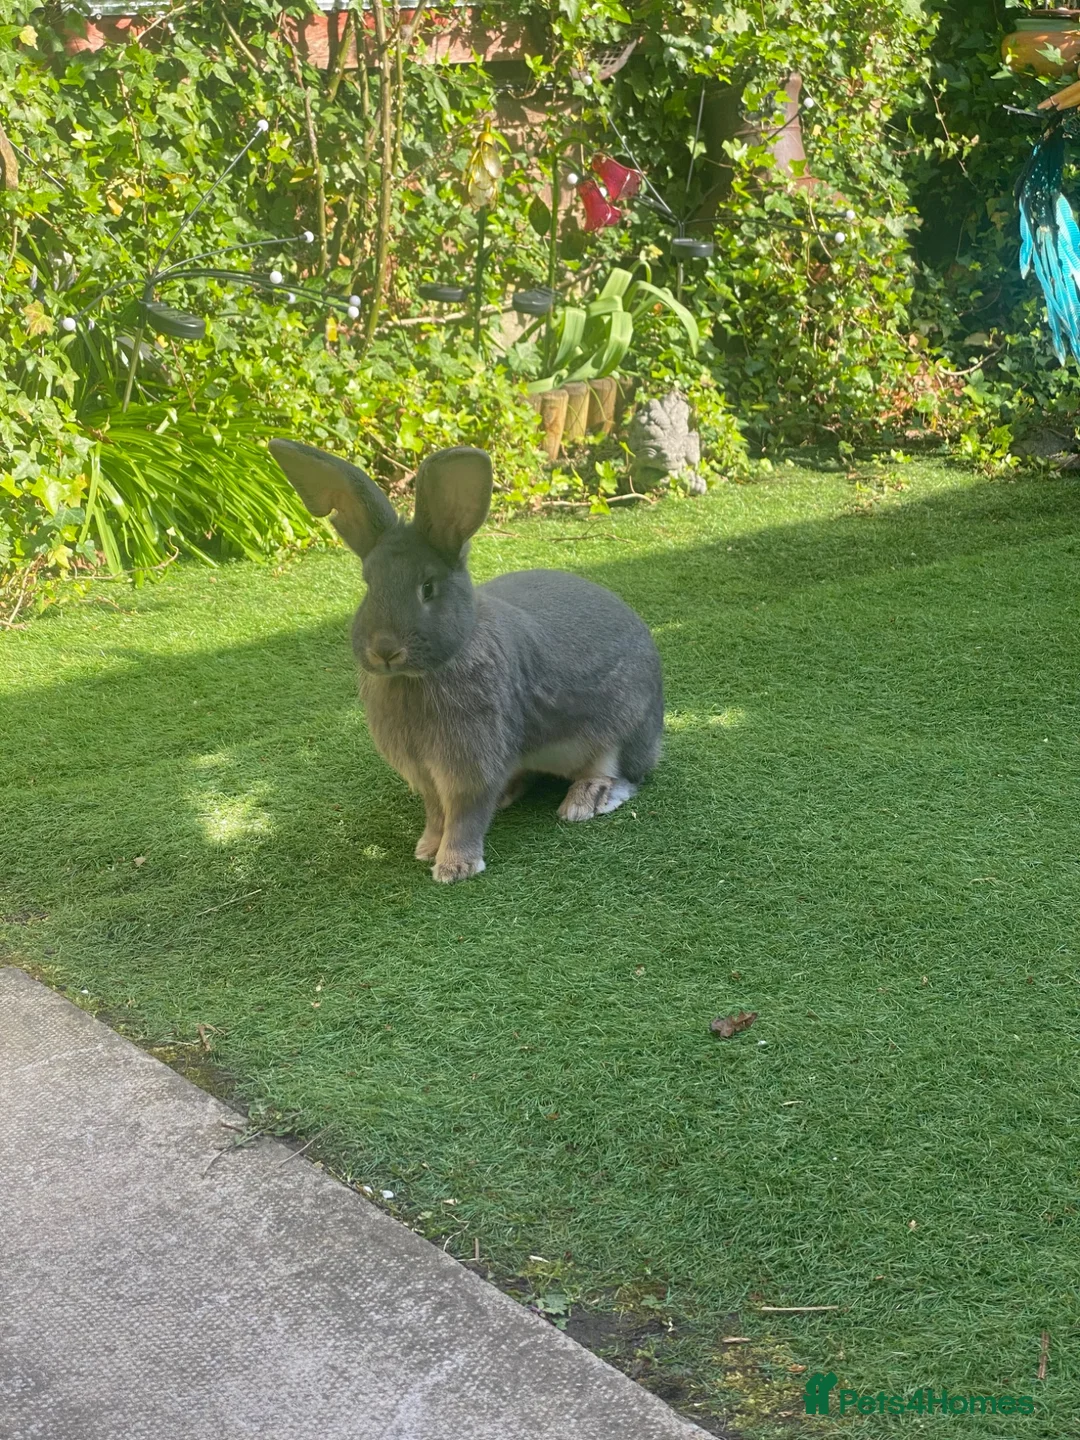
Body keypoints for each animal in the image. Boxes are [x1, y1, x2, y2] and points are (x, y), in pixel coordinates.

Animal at [269, 439, 663, 883]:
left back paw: (586, 800)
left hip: (622, 729)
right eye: (368, 585)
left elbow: (464, 815)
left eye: (427, 587)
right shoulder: (426, 773)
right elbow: (437, 814)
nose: (384, 649)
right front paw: (426, 848)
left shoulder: (469, 766)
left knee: (622, 773)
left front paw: (454, 867)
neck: (418, 676)